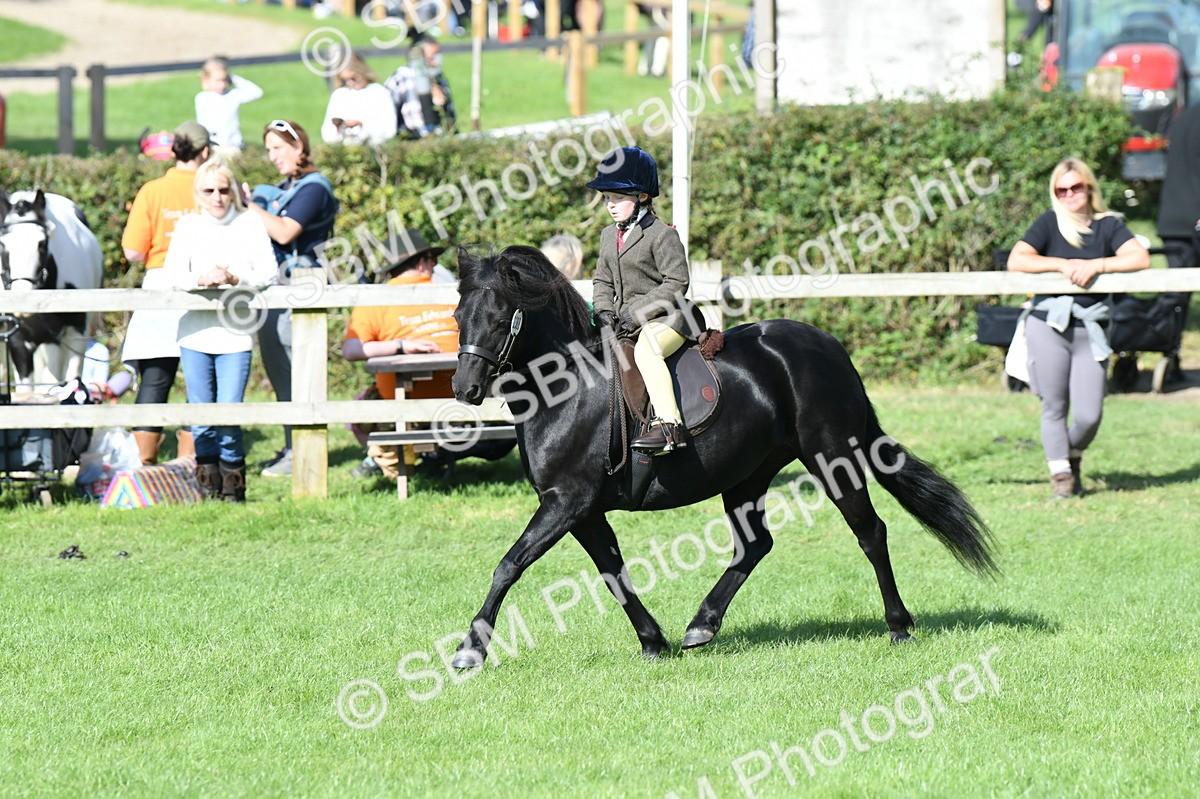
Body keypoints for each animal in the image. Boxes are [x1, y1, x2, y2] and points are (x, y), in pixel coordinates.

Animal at [446, 245, 998, 668]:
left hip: (832, 458)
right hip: (745, 476)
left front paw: (470, 651)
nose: (465, 389)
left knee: (870, 533)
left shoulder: (566, 502)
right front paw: (653, 641)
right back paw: (701, 626)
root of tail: (828, 346)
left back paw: (899, 626)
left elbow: (509, 565)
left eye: (500, 318)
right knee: (755, 546)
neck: (565, 388)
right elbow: (613, 573)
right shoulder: (581, 510)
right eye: (457, 316)